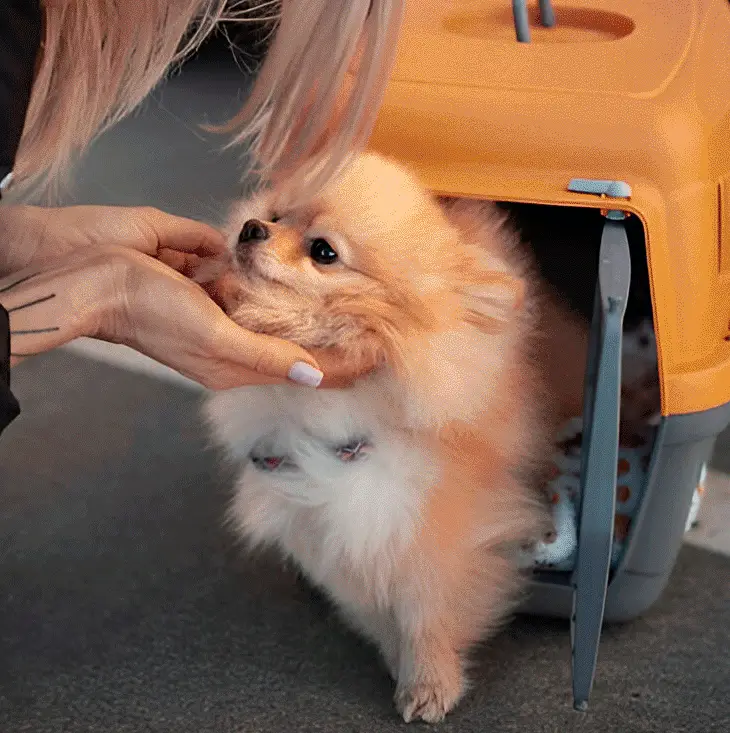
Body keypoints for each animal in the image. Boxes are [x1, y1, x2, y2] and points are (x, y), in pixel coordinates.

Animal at [200, 153, 552, 720]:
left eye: (323, 252)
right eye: (276, 215)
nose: (251, 228)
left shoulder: (436, 520)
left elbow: (428, 608)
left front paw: (430, 681)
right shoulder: (326, 523)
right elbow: (369, 599)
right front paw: (395, 654)